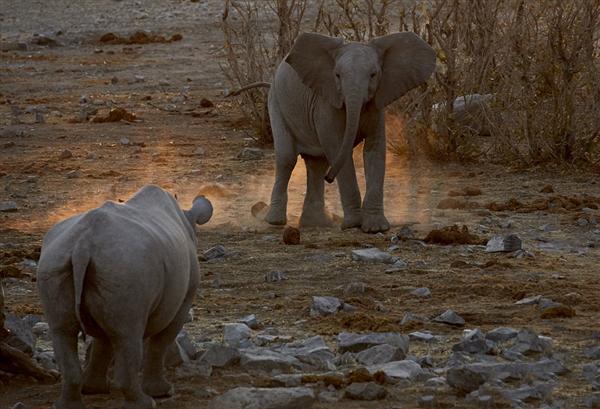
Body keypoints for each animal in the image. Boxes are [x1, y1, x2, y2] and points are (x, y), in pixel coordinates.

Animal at [36, 186, 212, 408]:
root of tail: (83, 243)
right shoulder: (183, 300)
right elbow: (160, 343)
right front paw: (163, 392)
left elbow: (102, 343)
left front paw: (94, 389)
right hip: (127, 266)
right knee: (128, 335)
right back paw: (145, 403)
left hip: (57, 260)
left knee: (62, 331)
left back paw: (67, 404)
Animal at [264, 32, 434, 233]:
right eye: (337, 75)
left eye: (373, 75)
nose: (329, 178)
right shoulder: (326, 103)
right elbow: (338, 149)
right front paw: (353, 224)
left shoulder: (376, 105)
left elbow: (375, 151)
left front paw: (376, 227)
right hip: (276, 101)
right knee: (287, 158)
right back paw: (275, 221)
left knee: (317, 163)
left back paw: (316, 223)